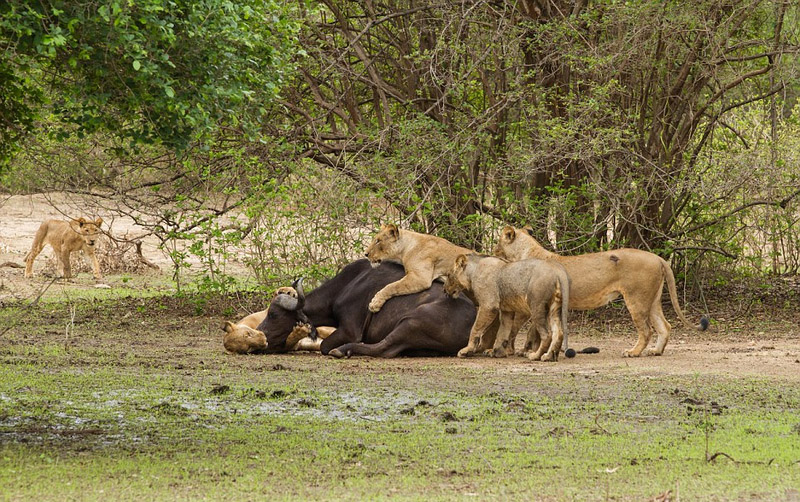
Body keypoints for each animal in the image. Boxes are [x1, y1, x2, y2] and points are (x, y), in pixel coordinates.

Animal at [496, 224, 708, 356]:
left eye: (498, 241)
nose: (493, 250)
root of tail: (658, 258)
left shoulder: (536, 302)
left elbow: (531, 331)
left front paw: (527, 351)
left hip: (636, 299)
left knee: (646, 330)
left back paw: (633, 352)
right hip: (653, 299)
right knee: (665, 326)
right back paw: (655, 351)